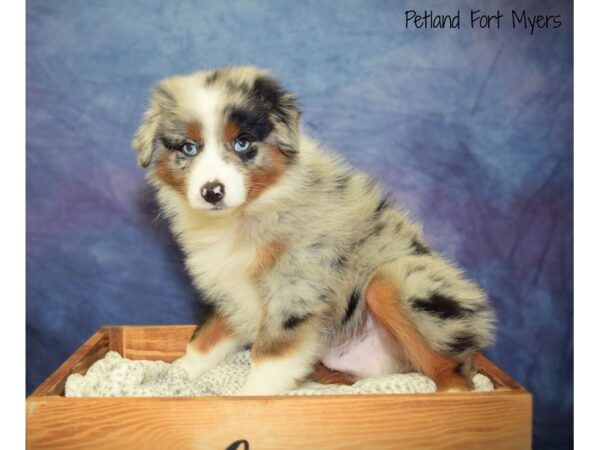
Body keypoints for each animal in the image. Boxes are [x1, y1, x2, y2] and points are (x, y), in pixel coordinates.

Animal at [132, 66, 496, 394]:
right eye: (188, 148)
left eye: (242, 143)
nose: (212, 191)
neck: (247, 212)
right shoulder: (230, 286)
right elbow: (207, 337)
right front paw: (175, 375)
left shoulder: (296, 287)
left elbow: (271, 357)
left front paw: (250, 399)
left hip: (399, 283)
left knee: (454, 371)